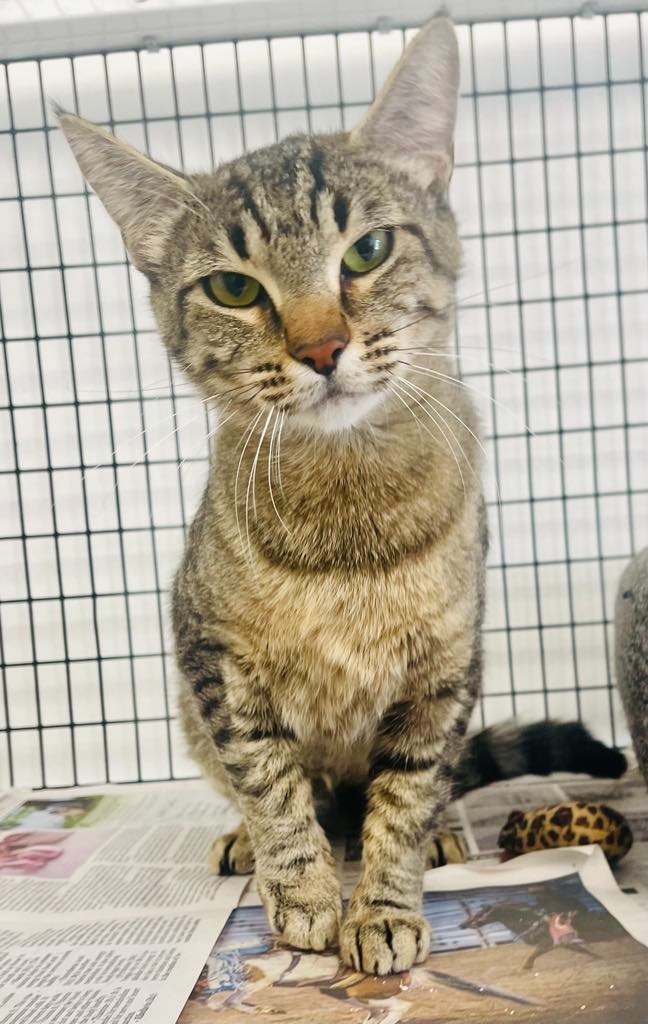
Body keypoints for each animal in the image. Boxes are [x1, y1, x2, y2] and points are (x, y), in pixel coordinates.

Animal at [58, 18, 622, 974]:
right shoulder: (214, 661)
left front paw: (385, 902)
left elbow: (407, 795)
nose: (321, 348)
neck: (346, 512)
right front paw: (303, 891)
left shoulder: (444, 669)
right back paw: (249, 843)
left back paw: (444, 833)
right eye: (234, 287)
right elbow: (269, 783)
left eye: (367, 251)